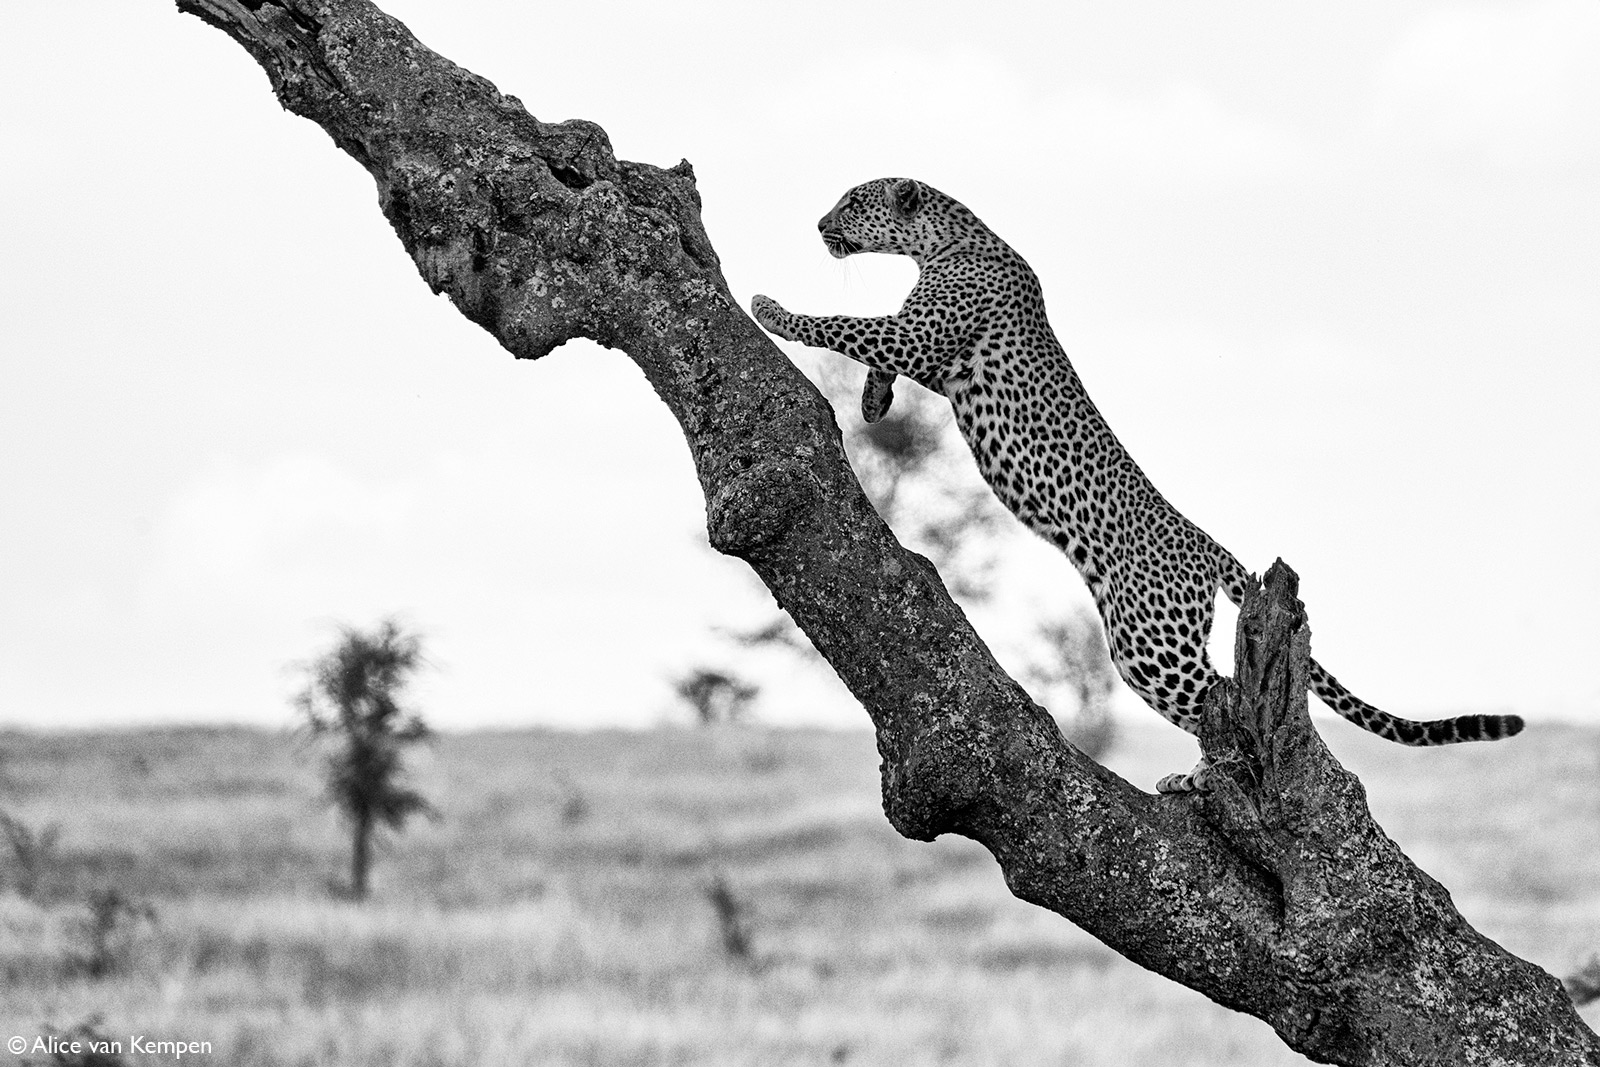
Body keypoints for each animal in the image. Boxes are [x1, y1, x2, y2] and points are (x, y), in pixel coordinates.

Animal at [748, 177, 1523, 793]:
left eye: (853, 202)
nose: (818, 224)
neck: (945, 239)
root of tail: (1209, 547)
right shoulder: (925, 349)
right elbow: (875, 351)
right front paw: (873, 401)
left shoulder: (919, 336)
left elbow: (842, 324)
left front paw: (768, 307)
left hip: (1150, 640)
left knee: (1225, 699)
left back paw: (1207, 776)